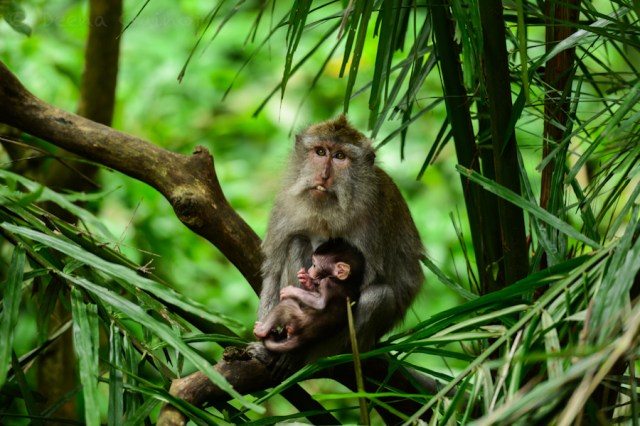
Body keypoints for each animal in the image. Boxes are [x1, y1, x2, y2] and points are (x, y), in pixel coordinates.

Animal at [251, 115, 424, 375]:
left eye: (340, 156)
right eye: (321, 152)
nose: (324, 175)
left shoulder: (374, 217)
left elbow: (365, 283)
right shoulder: (285, 205)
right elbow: (272, 269)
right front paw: (264, 342)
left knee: (379, 296)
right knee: (296, 241)